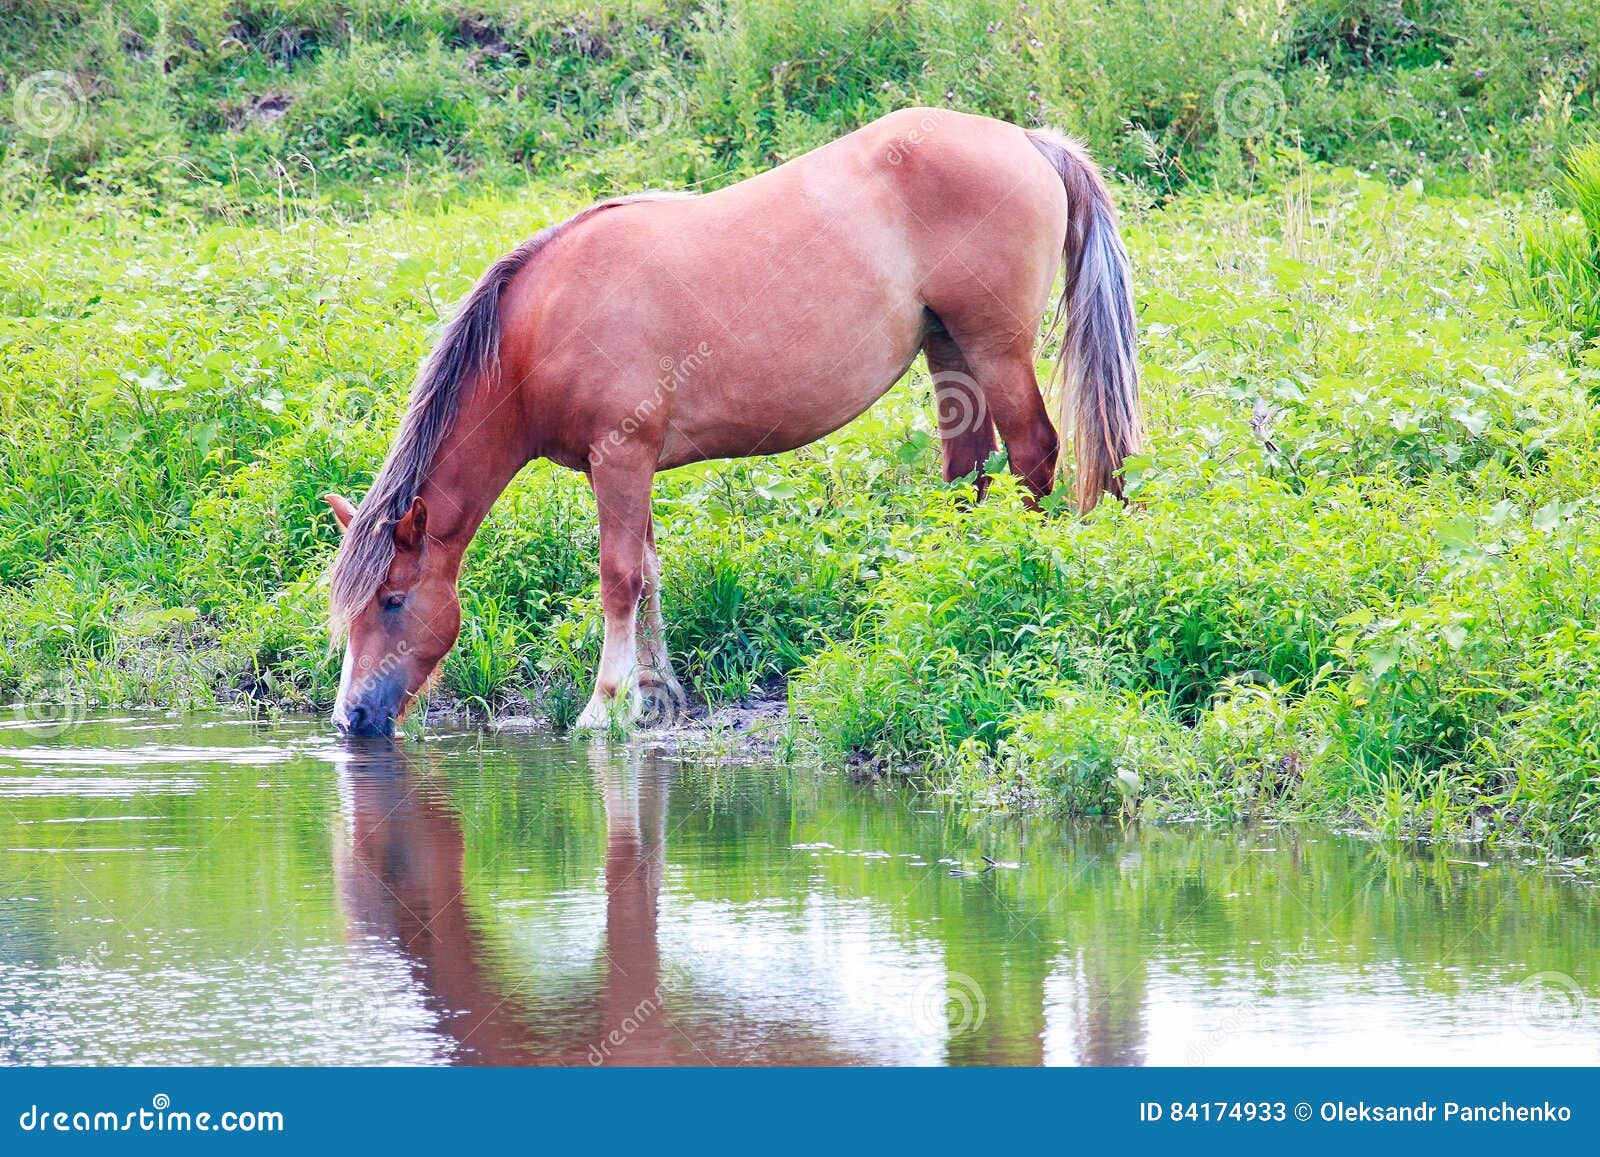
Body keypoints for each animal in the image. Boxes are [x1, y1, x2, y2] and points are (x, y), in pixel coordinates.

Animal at [324, 104, 1145, 729]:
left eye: (392, 601)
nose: (350, 718)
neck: (541, 327)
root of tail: (1027, 140)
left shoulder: (620, 458)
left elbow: (618, 577)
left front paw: (605, 705)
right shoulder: (629, 467)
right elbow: (650, 573)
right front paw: (659, 692)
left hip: (995, 349)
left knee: (1033, 454)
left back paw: (1022, 572)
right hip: (949, 351)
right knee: (968, 470)